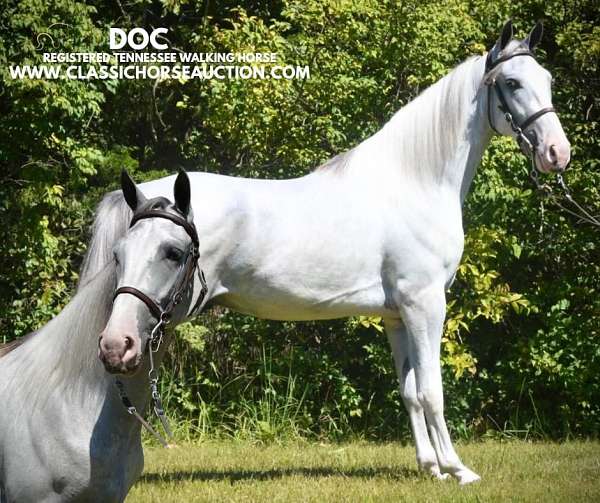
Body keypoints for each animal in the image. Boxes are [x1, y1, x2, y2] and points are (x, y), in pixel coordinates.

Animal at [86, 21, 568, 486]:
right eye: (511, 82)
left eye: (547, 79)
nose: (557, 153)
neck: (414, 180)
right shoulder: (425, 303)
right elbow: (432, 391)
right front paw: (457, 470)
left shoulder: (397, 315)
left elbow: (410, 391)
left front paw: (429, 468)